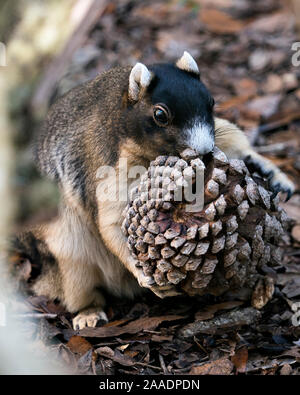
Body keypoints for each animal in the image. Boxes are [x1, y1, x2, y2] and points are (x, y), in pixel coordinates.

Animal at [9, 52, 296, 332]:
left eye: (212, 102)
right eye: (160, 115)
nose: (205, 153)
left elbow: (236, 140)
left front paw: (272, 172)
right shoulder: (109, 171)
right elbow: (111, 224)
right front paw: (145, 274)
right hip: (71, 258)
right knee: (80, 287)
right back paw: (89, 314)